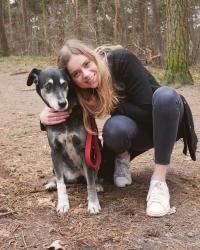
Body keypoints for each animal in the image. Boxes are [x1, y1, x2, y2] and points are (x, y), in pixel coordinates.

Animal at [26, 68, 101, 215]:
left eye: (64, 84)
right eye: (48, 86)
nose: (62, 103)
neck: (65, 117)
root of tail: (76, 175)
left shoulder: (84, 150)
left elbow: (90, 183)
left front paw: (94, 204)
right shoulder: (55, 150)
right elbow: (61, 184)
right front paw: (63, 204)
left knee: (93, 177)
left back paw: (98, 184)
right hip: (55, 165)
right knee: (61, 178)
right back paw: (51, 183)